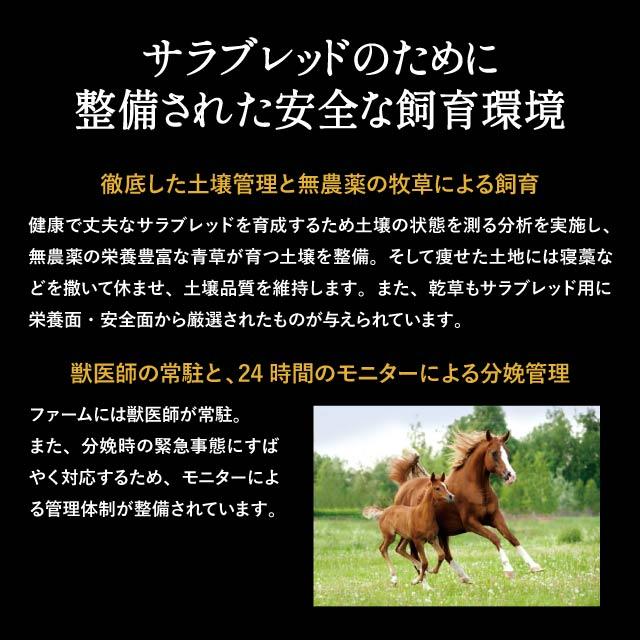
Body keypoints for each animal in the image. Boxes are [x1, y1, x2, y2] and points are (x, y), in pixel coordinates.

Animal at [391, 430, 543, 582]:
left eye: (507, 452)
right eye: (494, 453)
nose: (511, 476)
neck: (476, 489)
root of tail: (403, 486)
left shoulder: (495, 517)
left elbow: (512, 537)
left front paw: (534, 566)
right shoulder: (470, 523)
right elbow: (495, 538)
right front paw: (509, 570)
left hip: (442, 533)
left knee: (445, 554)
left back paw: (464, 577)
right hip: (415, 535)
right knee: (414, 556)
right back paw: (422, 583)